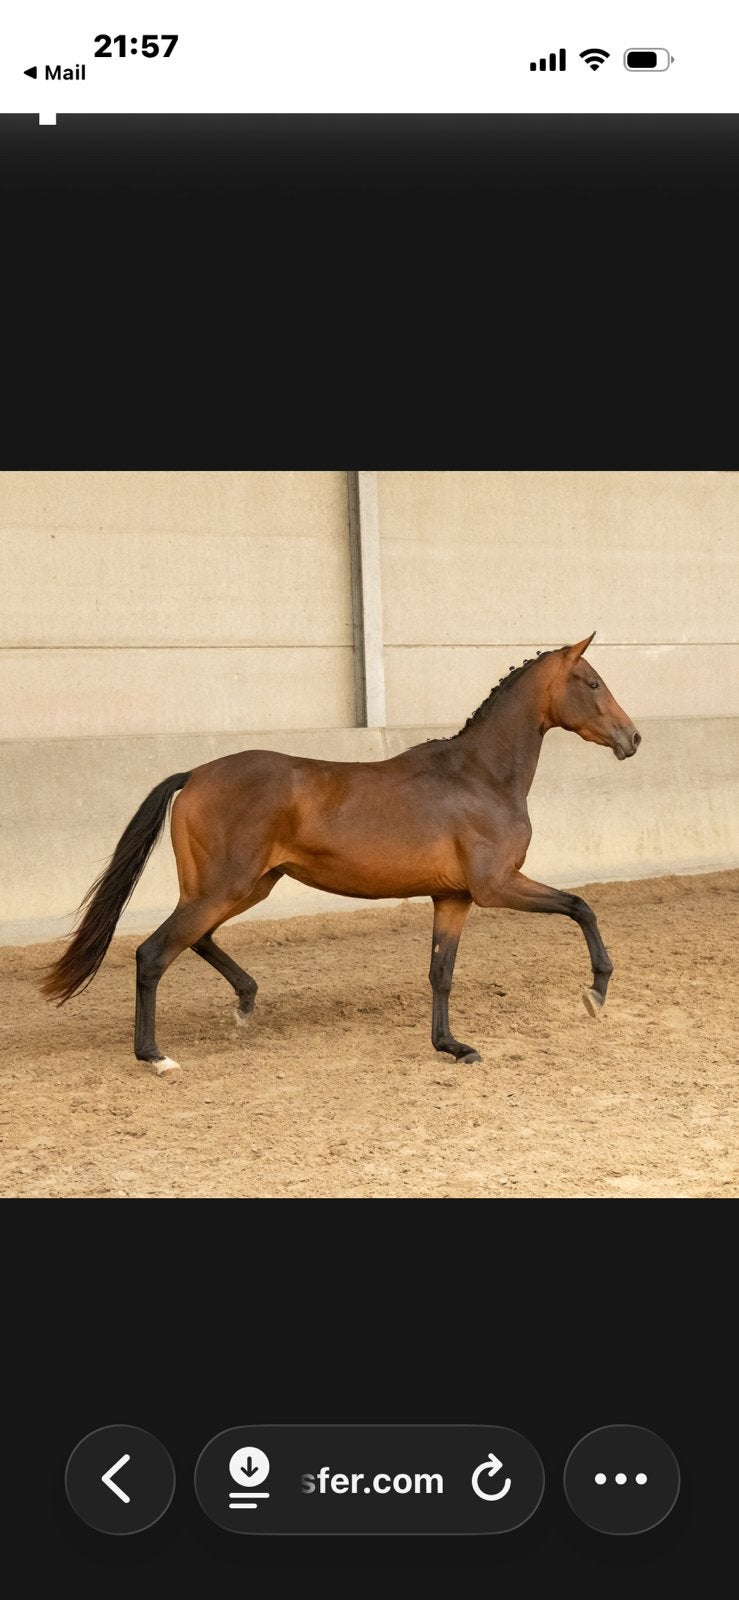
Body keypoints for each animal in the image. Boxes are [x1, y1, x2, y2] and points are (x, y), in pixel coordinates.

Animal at [41, 632, 641, 1074]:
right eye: (593, 682)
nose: (632, 739)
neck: (480, 776)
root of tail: (194, 775)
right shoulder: (496, 887)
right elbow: (581, 906)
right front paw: (596, 991)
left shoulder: (454, 898)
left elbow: (440, 973)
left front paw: (452, 1046)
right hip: (226, 888)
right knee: (154, 954)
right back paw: (156, 1056)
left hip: (245, 886)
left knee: (198, 940)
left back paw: (246, 1002)